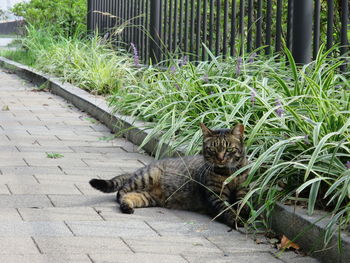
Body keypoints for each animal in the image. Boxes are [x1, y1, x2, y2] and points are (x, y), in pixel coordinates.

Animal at [90, 122, 249, 228]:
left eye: (229, 149)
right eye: (212, 149)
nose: (220, 159)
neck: (229, 173)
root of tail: (139, 169)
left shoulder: (243, 190)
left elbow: (242, 204)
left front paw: (243, 215)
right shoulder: (216, 195)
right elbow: (226, 208)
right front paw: (236, 220)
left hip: (147, 197)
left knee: (129, 196)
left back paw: (128, 207)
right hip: (146, 177)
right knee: (121, 192)